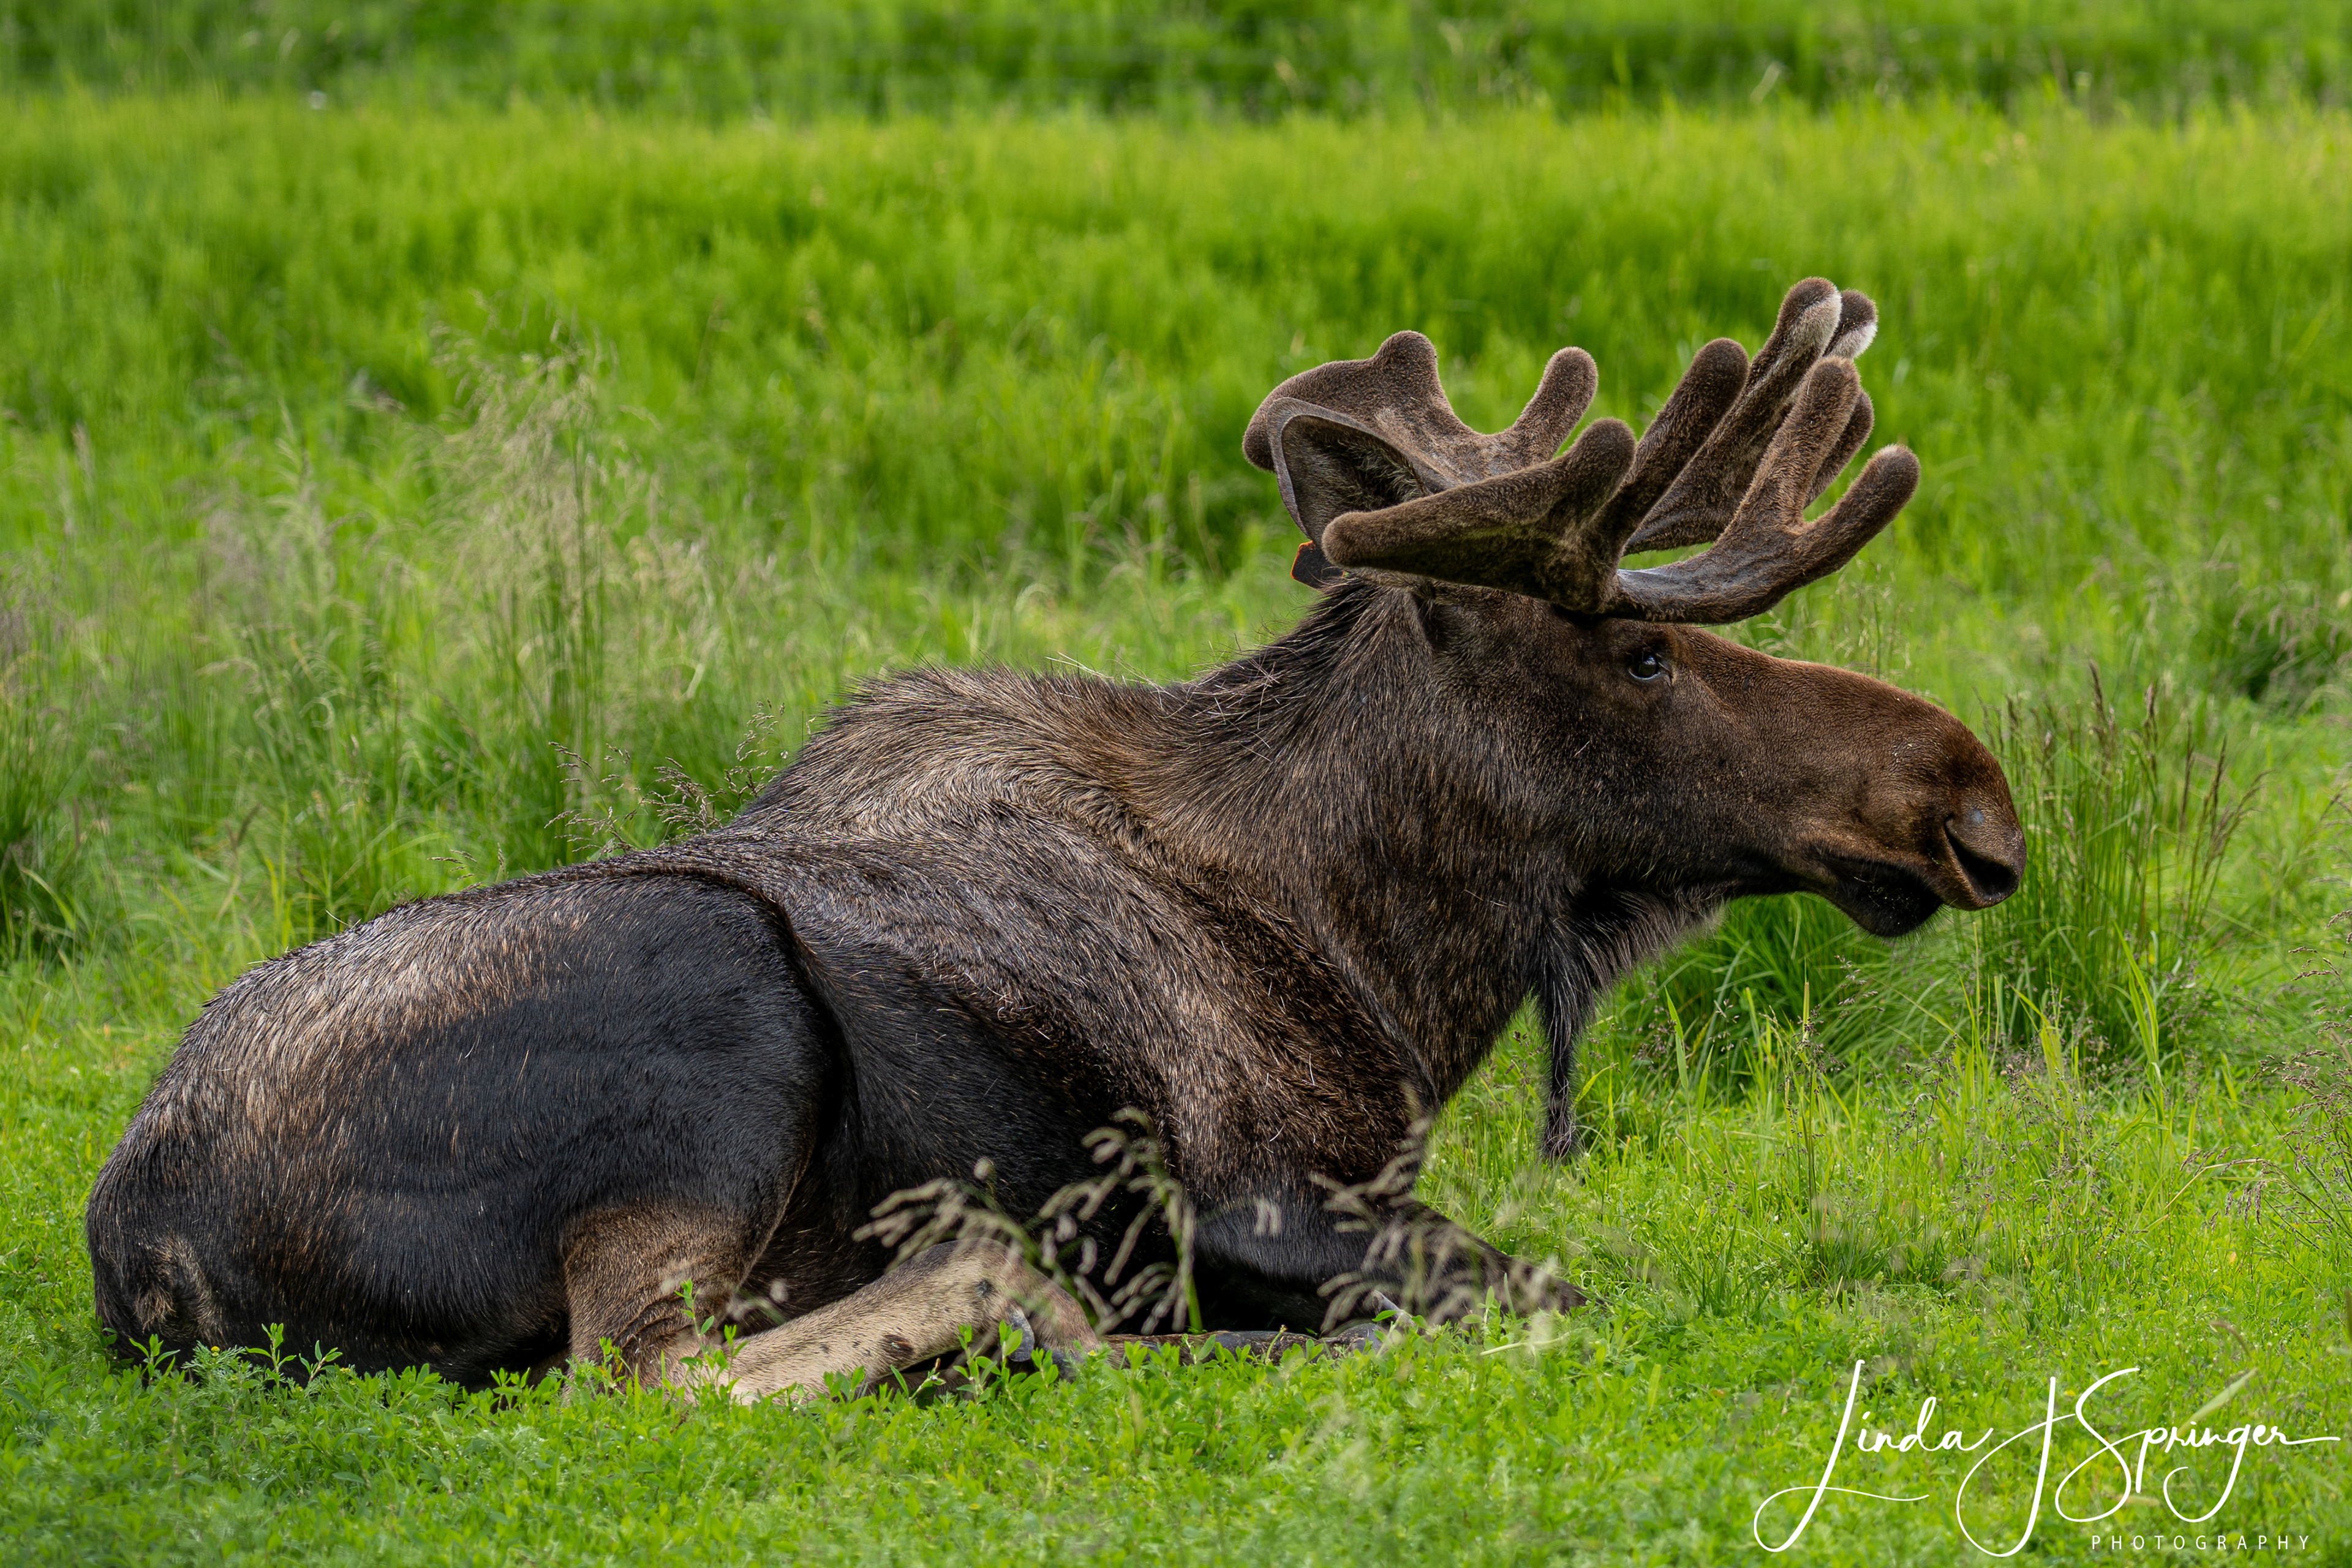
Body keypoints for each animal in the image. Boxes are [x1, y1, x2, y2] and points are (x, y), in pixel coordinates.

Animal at [86, 278, 2025, 1401]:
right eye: (1640, 652)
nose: (1971, 802)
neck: (1390, 963)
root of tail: (140, 1256)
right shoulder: (1270, 1189)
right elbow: (1549, 1292)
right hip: (719, 1014)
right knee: (638, 1375)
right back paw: (1030, 1314)